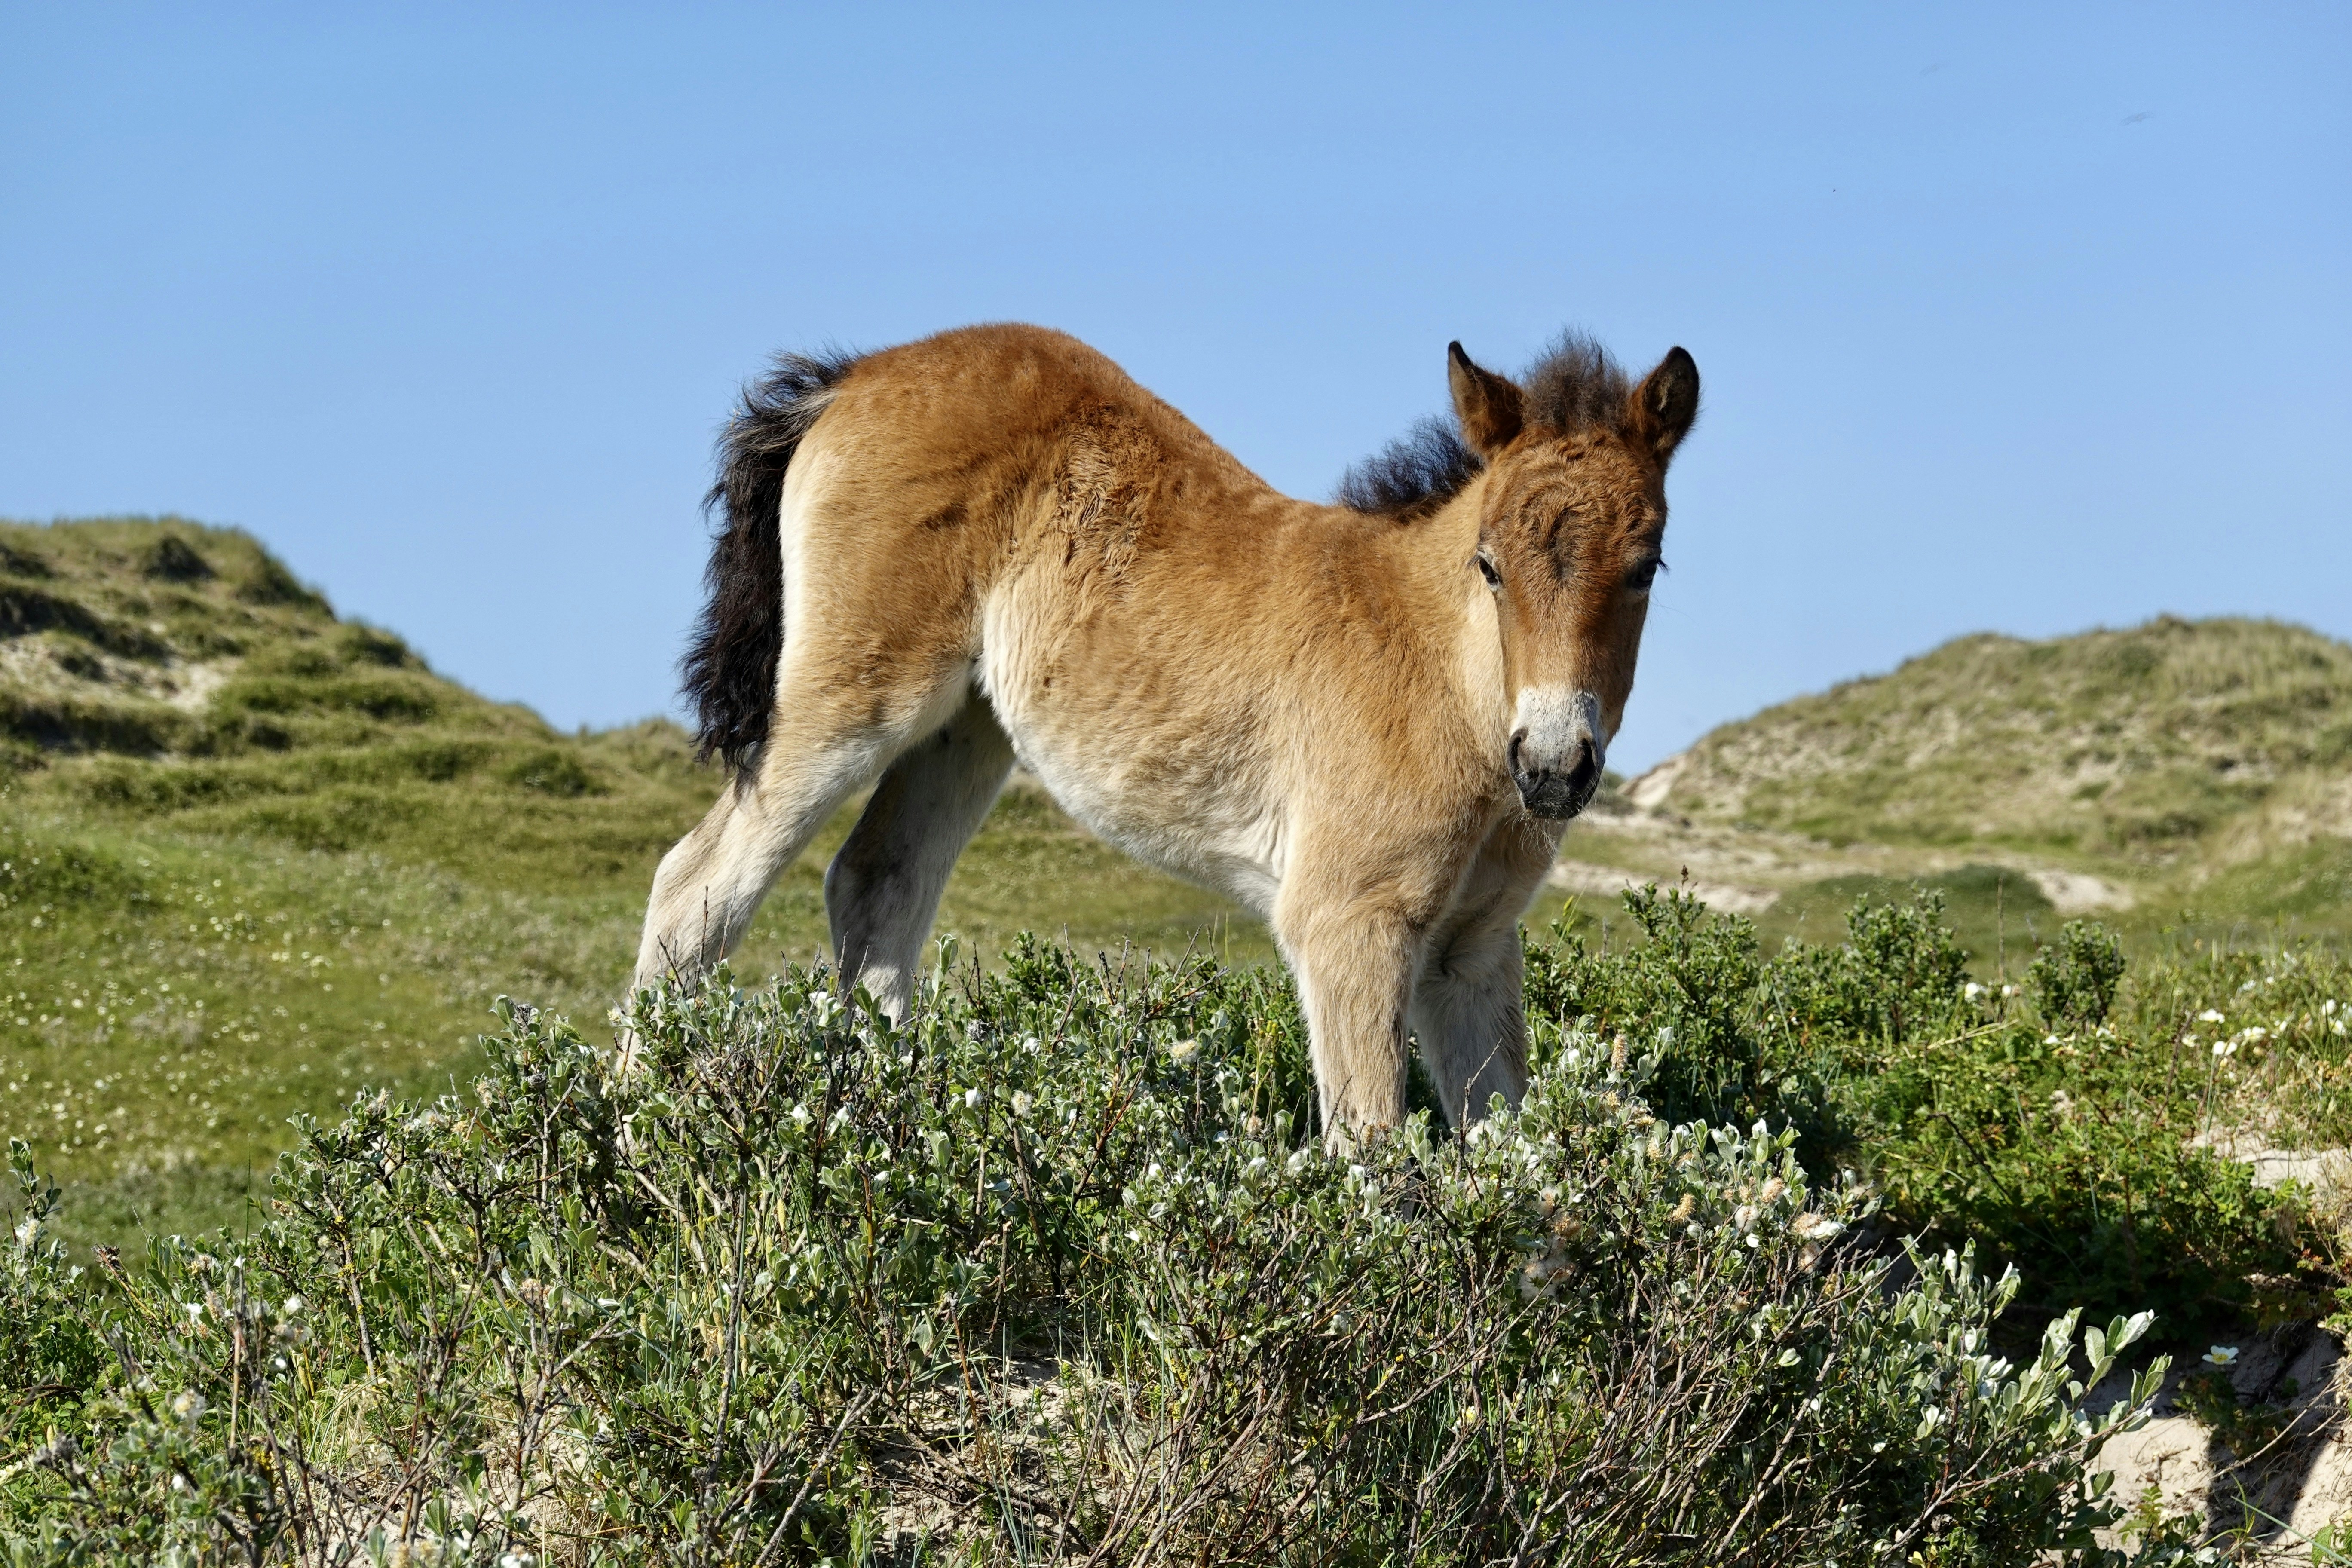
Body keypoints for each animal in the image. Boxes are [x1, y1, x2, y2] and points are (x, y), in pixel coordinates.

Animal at [631, 323, 1697, 1142]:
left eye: (1648, 565)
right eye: (1489, 564)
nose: (1553, 767)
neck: (1444, 682)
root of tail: (849, 378)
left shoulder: (1472, 954)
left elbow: (1516, 1164)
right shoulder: (1350, 921)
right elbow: (1373, 1153)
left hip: (968, 730)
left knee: (877, 889)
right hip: (856, 698)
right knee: (697, 888)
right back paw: (638, 1145)